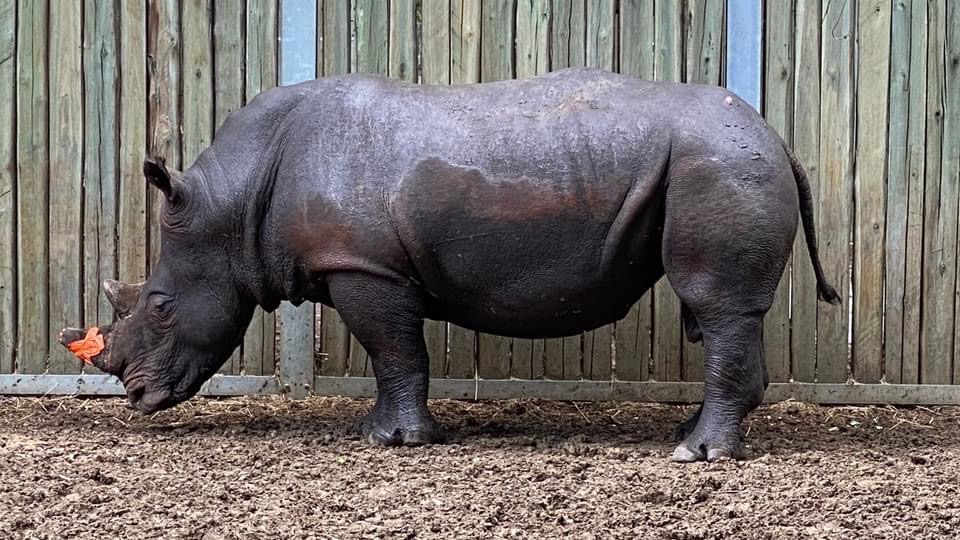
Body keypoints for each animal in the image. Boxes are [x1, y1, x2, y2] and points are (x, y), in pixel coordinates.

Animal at [59, 68, 839, 462]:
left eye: (160, 305)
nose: (133, 393)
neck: (234, 202)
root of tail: (778, 136)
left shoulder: (364, 266)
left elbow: (394, 350)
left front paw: (393, 442)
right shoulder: (366, 264)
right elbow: (396, 353)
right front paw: (379, 433)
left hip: (721, 163)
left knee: (716, 304)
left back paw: (697, 457)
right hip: (725, 160)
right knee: (727, 312)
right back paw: (694, 441)